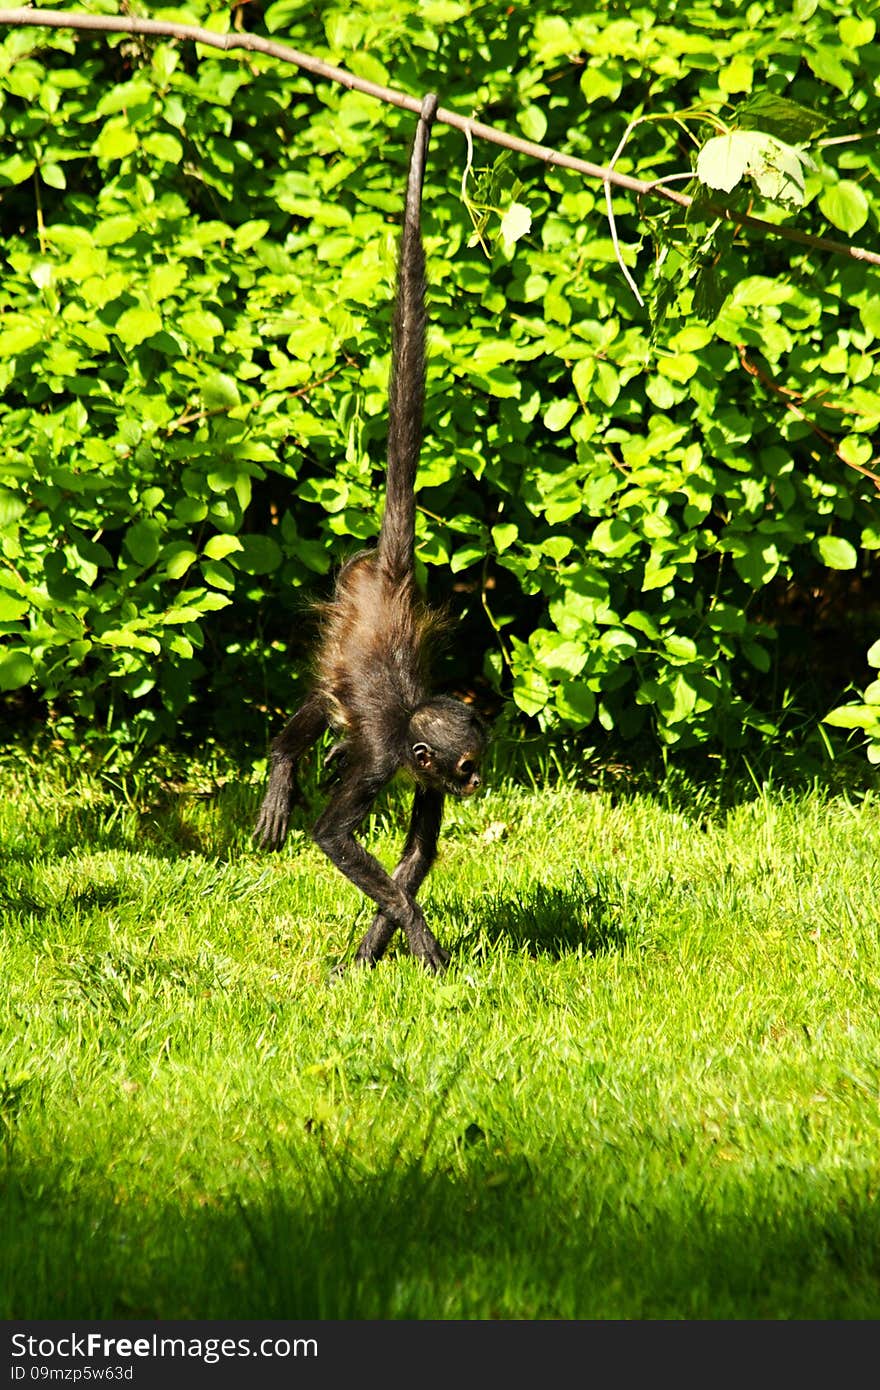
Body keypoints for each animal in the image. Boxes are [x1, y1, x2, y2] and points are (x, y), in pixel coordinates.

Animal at [254, 92, 486, 973]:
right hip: (343, 607)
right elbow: (333, 834)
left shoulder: (418, 779)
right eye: (468, 767)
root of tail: (391, 575)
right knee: (323, 694)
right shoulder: (395, 761)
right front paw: (419, 937)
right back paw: (287, 762)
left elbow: (417, 856)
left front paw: (374, 948)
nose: (480, 783)